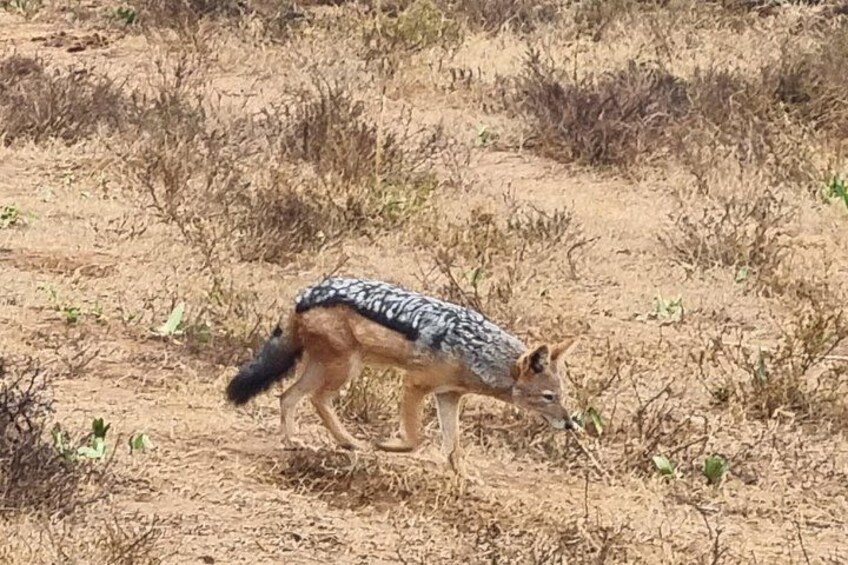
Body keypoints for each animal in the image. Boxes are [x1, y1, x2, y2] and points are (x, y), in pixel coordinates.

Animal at [224, 276, 579, 475]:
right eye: (549, 397)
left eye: (562, 397)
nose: (570, 424)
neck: (474, 351)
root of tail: (304, 294)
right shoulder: (415, 385)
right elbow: (415, 439)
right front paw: (386, 445)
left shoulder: (448, 397)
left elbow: (454, 448)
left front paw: (465, 478)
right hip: (345, 369)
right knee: (315, 399)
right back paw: (348, 441)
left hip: (325, 368)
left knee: (288, 396)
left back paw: (295, 442)